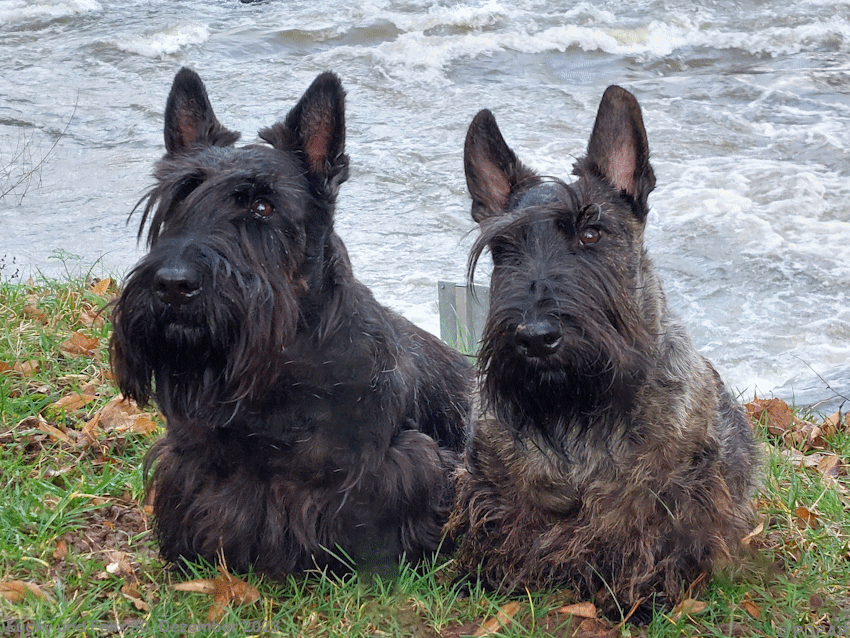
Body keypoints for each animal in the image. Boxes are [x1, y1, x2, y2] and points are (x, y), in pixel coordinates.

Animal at [448, 87, 760, 624]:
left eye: (590, 232)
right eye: (504, 248)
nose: (535, 338)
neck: (577, 405)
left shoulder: (674, 500)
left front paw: (640, 597)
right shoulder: (495, 491)